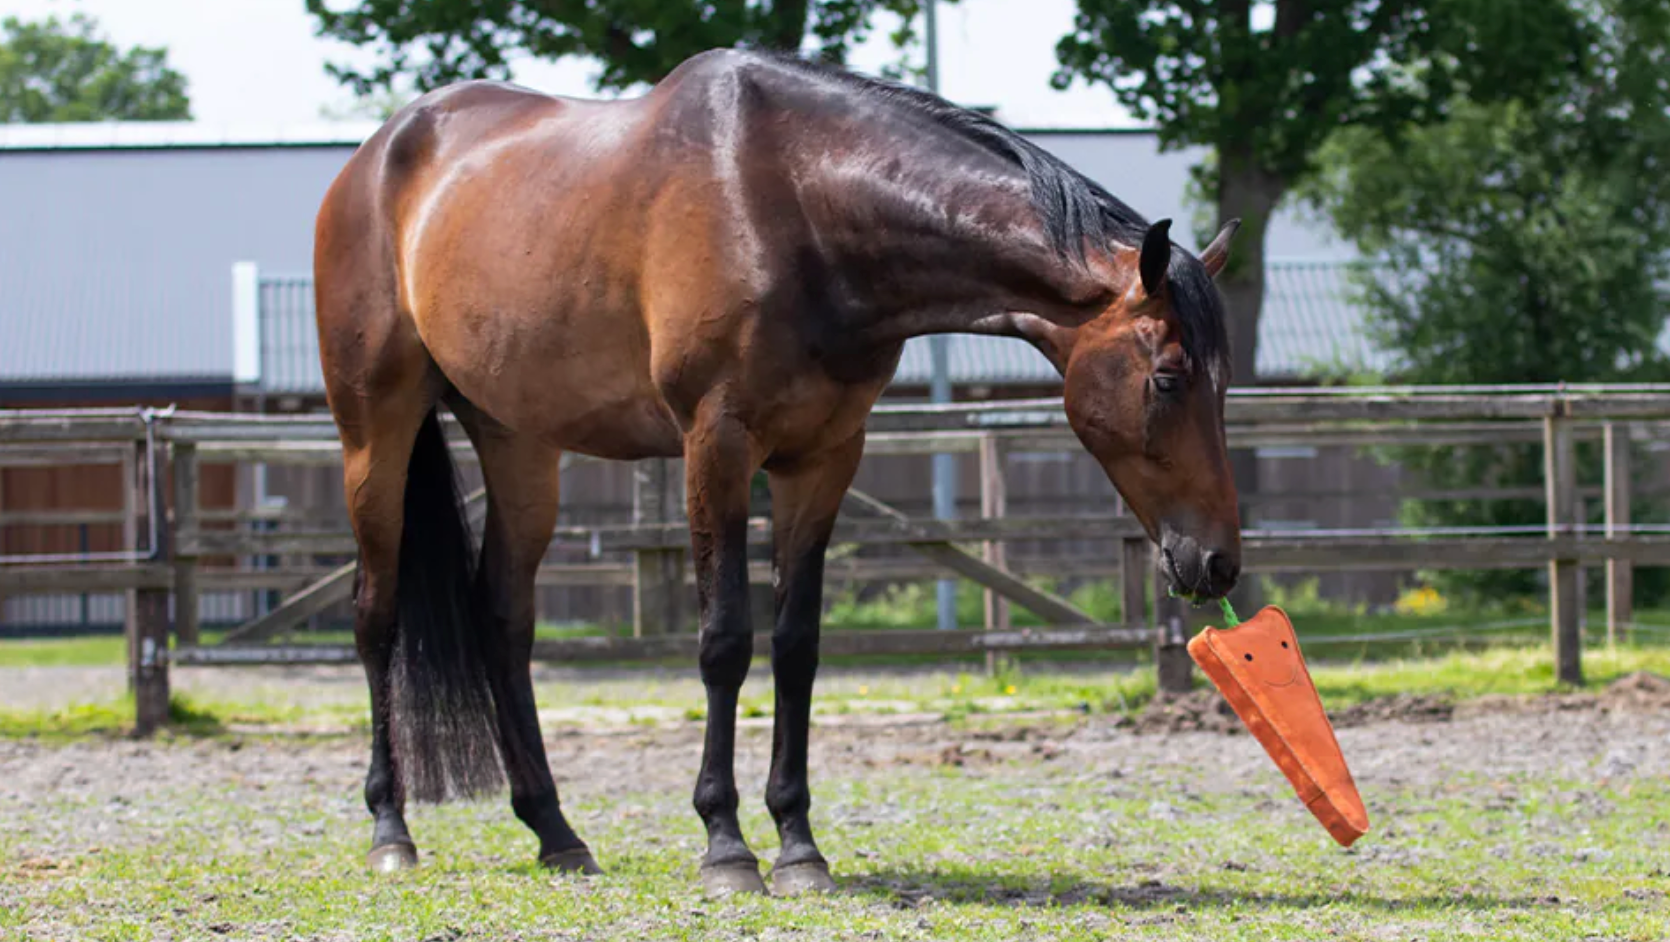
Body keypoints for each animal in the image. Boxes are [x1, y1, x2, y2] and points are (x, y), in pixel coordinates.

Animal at [313, 47, 1243, 896]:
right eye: (1168, 378)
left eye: (1222, 381)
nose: (1218, 561)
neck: (798, 208)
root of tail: (377, 156)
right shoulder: (716, 447)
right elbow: (726, 640)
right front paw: (726, 844)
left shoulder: (823, 457)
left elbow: (797, 647)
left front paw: (798, 844)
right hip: (375, 432)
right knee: (375, 617)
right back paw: (391, 831)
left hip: (518, 443)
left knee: (503, 620)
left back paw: (556, 833)